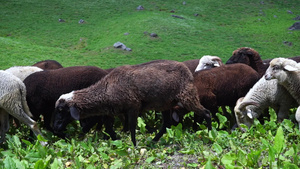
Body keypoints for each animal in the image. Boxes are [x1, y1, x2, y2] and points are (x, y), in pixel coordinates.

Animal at [53, 60, 211, 146]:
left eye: (61, 110)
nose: (55, 127)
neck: (107, 88)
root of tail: (187, 71)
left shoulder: (133, 107)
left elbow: (132, 127)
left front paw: (134, 145)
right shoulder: (113, 111)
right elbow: (109, 127)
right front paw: (116, 140)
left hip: (187, 96)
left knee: (207, 113)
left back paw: (210, 135)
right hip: (165, 103)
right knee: (166, 123)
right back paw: (153, 141)